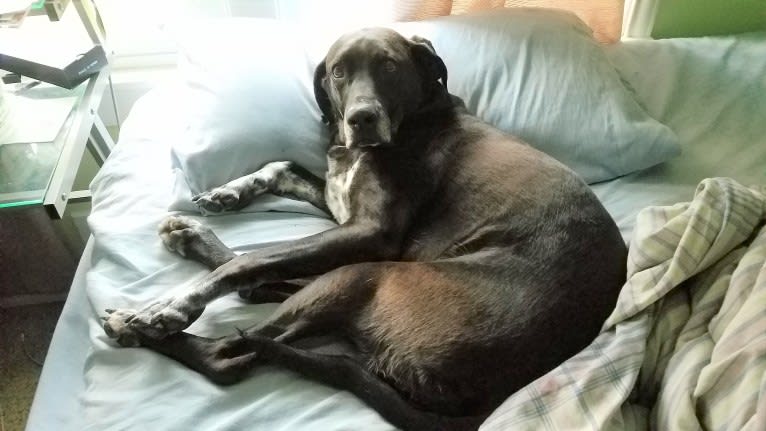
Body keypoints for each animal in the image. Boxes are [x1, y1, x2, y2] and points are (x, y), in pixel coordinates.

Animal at [103, 28, 632, 430]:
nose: (361, 118)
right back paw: (190, 240)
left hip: (371, 273)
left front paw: (171, 306)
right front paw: (230, 191)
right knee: (263, 291)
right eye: (339, 71)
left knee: (232, 349)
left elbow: (256, 256)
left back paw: (141, 323)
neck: (411, 120)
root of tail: (488, 395)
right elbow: (282, 169)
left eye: (391, 67)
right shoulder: (342, 211)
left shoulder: (370, 232)